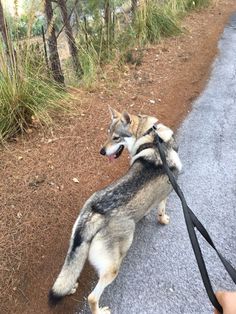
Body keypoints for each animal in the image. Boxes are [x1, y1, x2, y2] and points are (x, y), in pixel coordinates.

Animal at [48, 108, 183, 314]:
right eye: (107, 134)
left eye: (116, 137)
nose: (102, 151)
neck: (153, 137)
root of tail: (95, 212)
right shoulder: (165, 195)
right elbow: (160, 212)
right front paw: (163, 220)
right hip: (112, 269)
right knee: (92, 297)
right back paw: (99, 309)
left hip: (76, 250)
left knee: (69, 274)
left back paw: (70, 288)